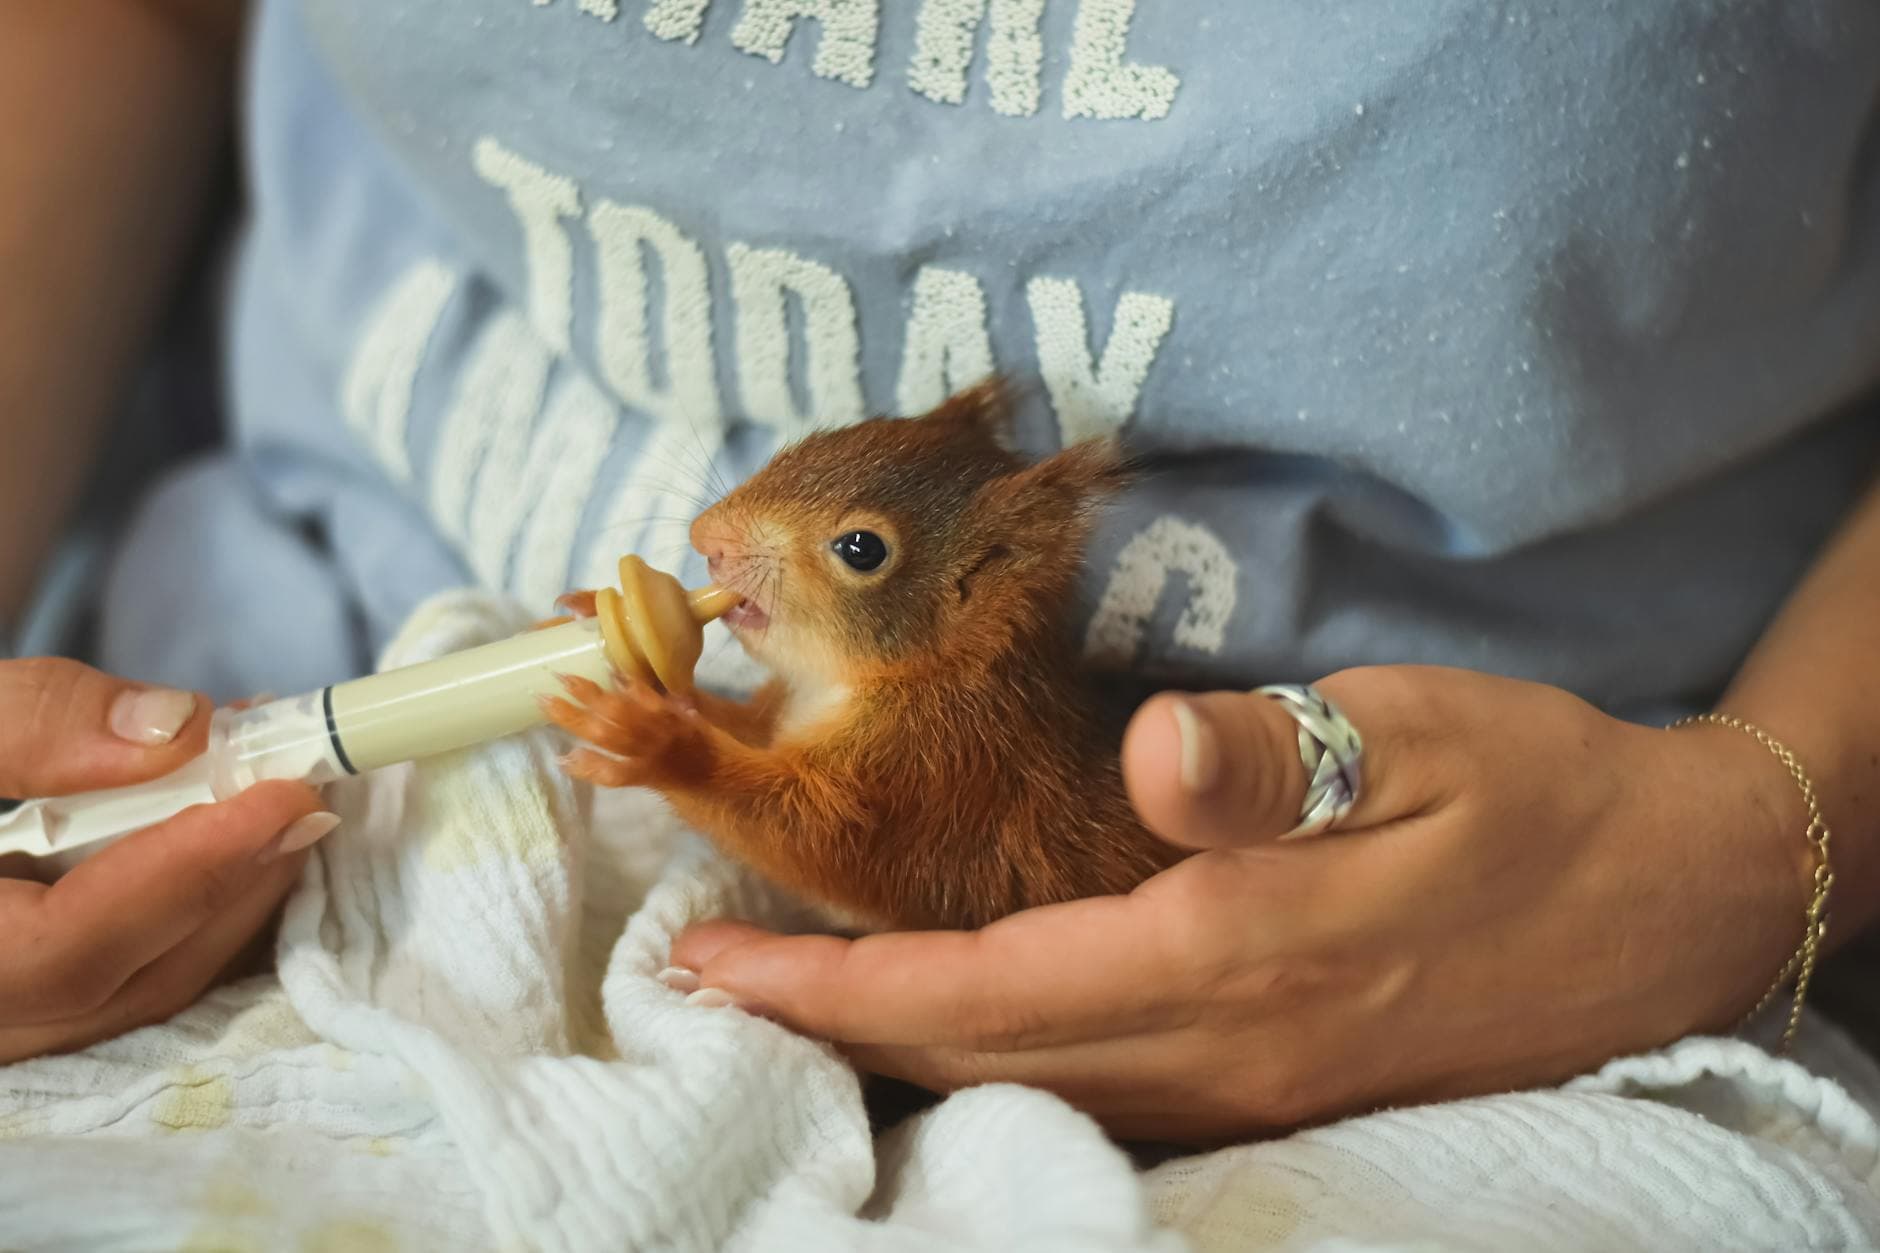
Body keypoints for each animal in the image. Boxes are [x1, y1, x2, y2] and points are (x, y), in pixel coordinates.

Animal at [541, 380, 1187, 931]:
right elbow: (743, 727)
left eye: (862, 549)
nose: (707, 539)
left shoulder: (933, 772)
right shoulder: (785, 717)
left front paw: (657, 745)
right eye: (818, 441)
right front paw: (609, 634)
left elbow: (813, 839)